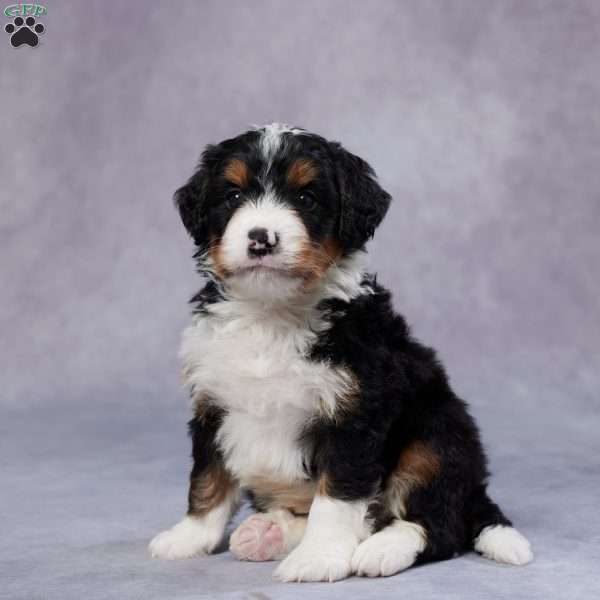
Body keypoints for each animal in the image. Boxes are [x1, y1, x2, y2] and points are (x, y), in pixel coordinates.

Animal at [148, 123, 532, 580]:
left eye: (306, 199)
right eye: (234, 196)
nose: (261, 239)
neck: (271, 313)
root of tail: (475, 490)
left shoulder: (354, 412)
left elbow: (335, 497)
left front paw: (318, 557)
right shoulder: (212, 401)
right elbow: (207, 478)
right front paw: (187, 537)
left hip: (437, 435)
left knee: (439, 524)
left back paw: (381, 550)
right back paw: (267, 534)